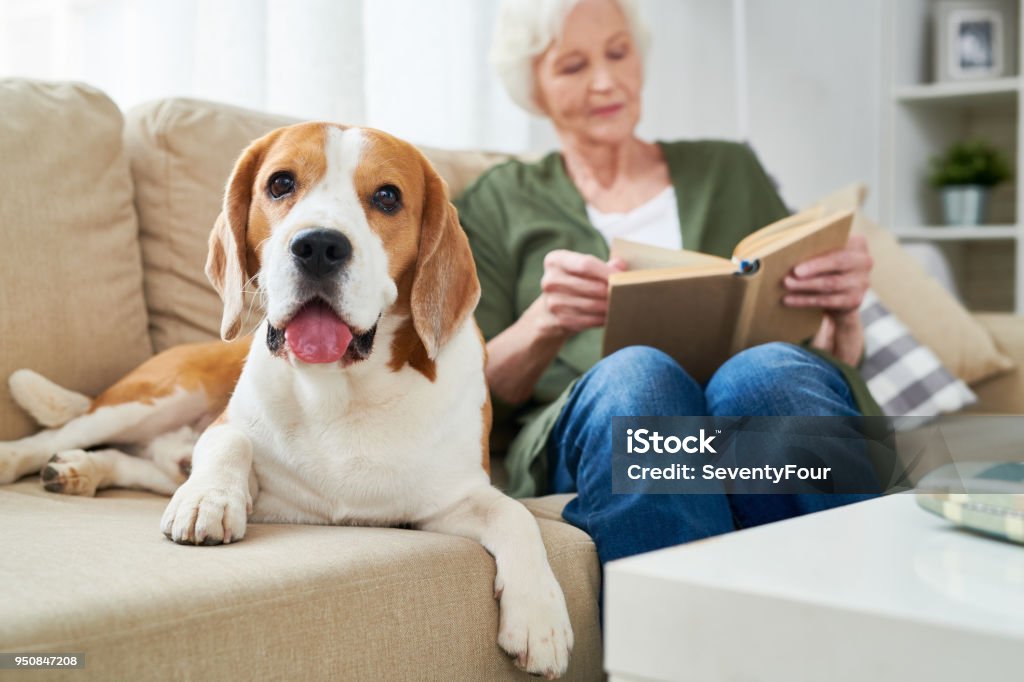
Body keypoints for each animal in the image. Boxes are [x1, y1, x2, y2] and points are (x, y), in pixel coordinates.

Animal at [0, 122, 577, 675]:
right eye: (280, 183)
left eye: (388, 197)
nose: (319, 245)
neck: (341, 390)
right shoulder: (231, 435)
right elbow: (231, 442)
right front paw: (210, 499)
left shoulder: (446, 502)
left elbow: (515, 515)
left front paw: (540, 618)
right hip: (153, 397)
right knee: (63, 433)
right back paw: (27, 458)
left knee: (136, 462)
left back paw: (81, 469)